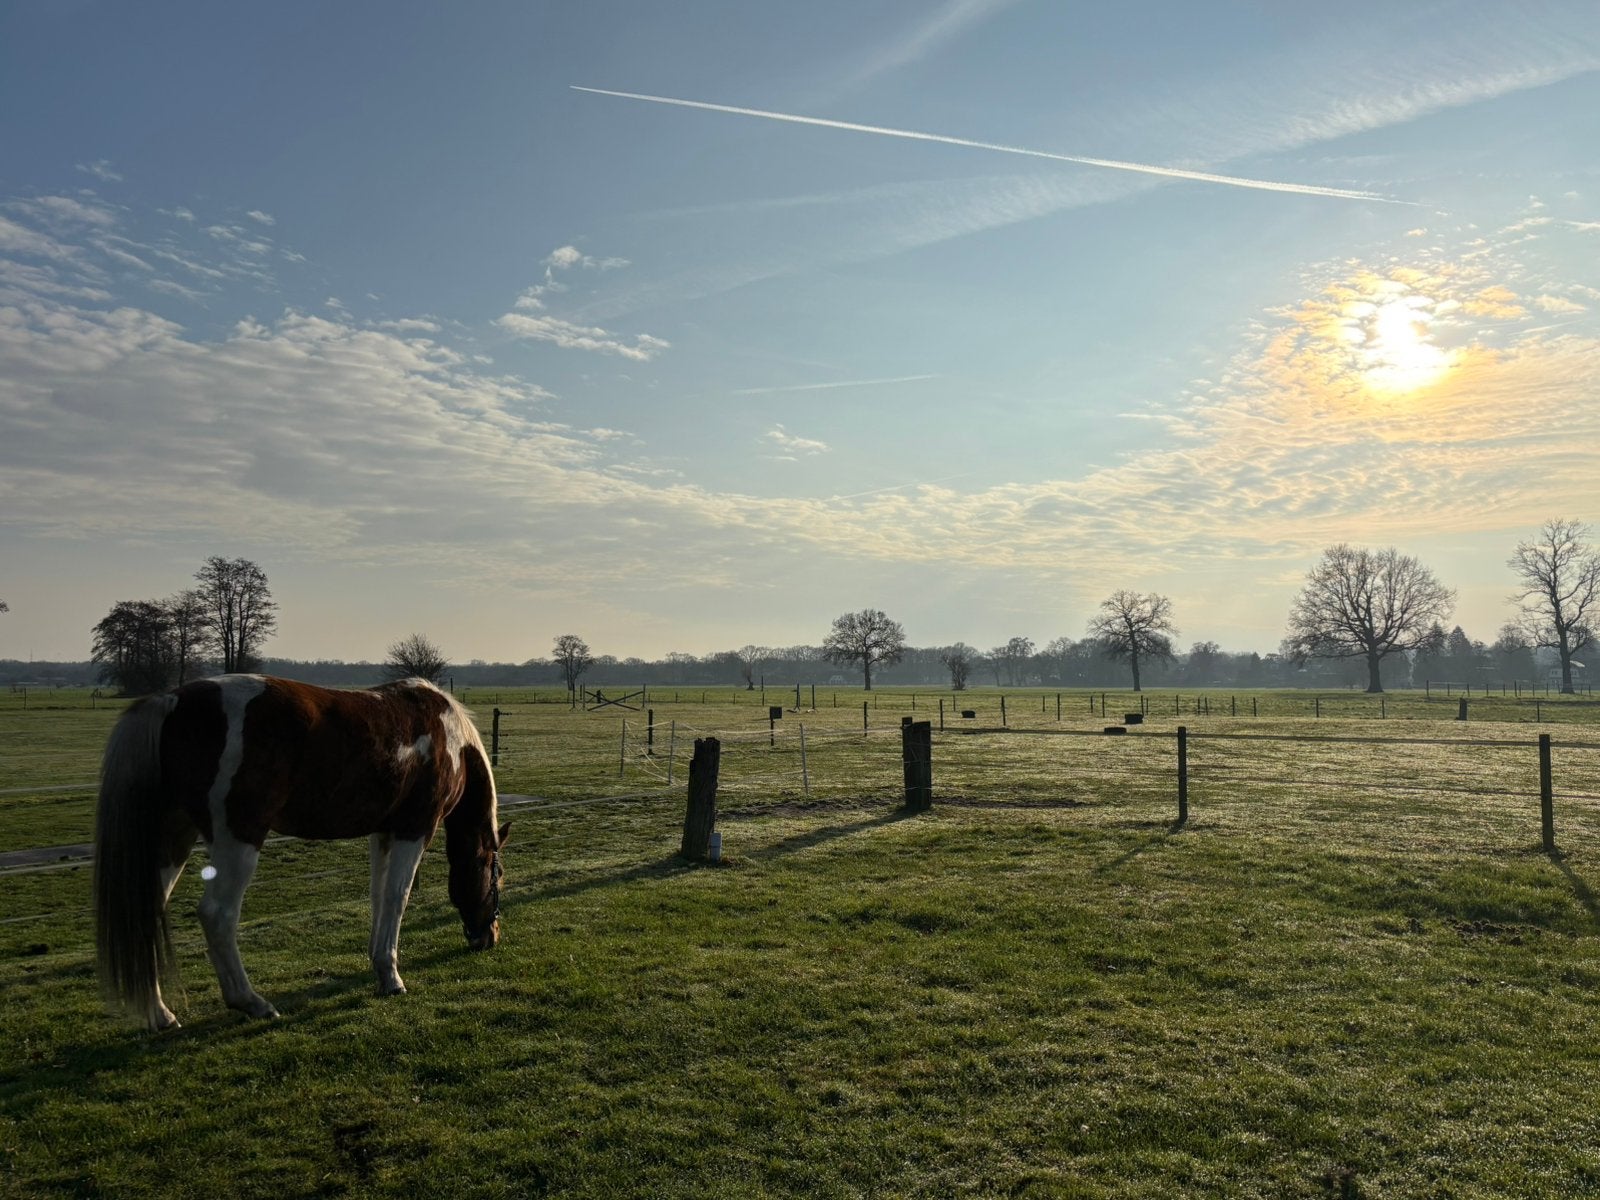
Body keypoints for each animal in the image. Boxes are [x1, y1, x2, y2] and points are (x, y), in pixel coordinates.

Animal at [94, 674, 509, 1031]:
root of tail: (172, 701)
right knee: (217, 914)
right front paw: (392, 978)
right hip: (238, 839)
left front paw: (379, 964)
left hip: (174, 838)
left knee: (148, 909)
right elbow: (397, 897)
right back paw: (251, 1002)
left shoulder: (383, 833)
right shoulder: (415, 828)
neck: (449, 740)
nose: (489, 937)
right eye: (497, 876)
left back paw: (160, 1015)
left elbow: (377, 896)